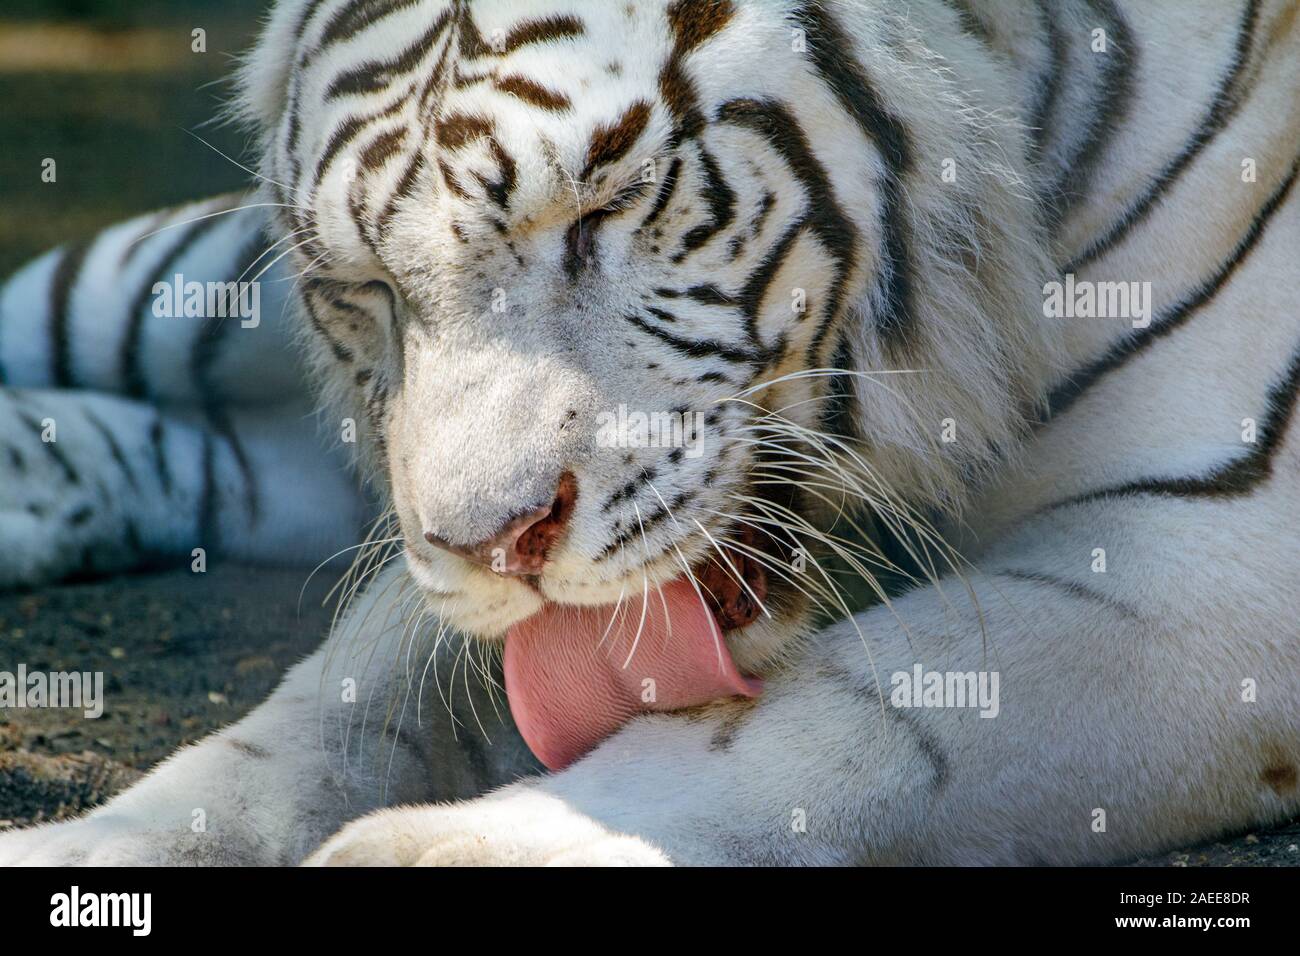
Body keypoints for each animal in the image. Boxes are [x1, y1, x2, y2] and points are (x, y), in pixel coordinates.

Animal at [0, 0, 1297, 866]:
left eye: (606, 207)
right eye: (361, 284)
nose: (499, 546)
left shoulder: (1206, 566)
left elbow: (833, 719)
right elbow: (342, 695)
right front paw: (102, 843)